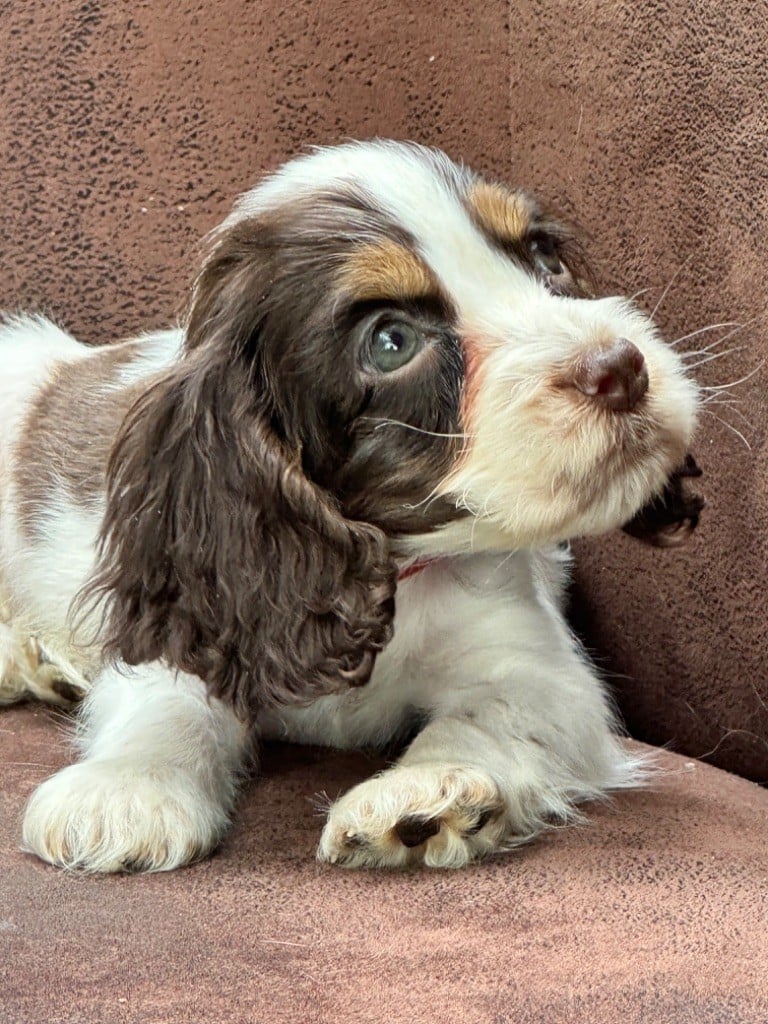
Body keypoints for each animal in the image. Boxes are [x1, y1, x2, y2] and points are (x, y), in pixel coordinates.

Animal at [0, 140, 699, 872]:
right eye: (390, 341)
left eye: (544, 258)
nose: (621, 367)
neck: (384, 567)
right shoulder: (201, 625)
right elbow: (167, 706)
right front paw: (124, 789)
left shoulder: (538, 670)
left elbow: (493, 714)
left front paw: (426, 792)